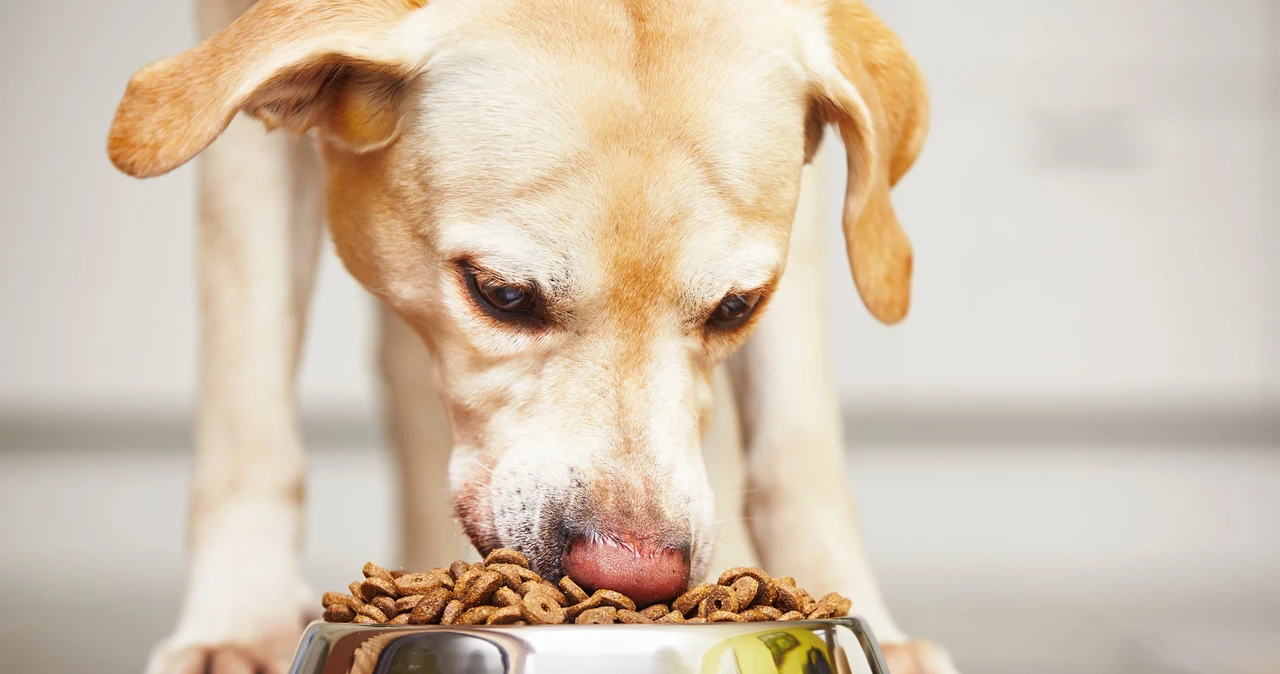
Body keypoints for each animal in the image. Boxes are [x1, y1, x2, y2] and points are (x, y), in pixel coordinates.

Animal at [107, 0, 952, 670]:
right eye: (502, 295)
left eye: (737, 308)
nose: (634, 575)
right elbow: (249, 413)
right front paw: (237, 629)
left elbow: (798, 446)